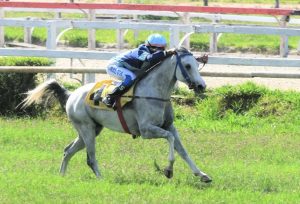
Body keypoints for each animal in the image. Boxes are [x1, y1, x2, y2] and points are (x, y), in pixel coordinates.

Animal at [22, 47, 212, 182]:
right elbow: (171, 141)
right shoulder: (147, 130)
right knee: (90, 157)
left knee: (68, 151)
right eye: (187, 66)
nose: (202, 86)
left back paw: (62, 175)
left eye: (197, 65)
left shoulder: (169, 126)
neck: (154, 92)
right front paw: (168, 170)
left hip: (90, 130)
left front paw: (202, 174)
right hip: (87, 129)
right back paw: (101, 178)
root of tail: (71, 95)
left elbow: (182, 150)